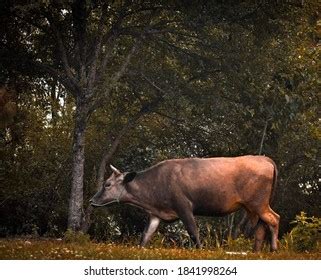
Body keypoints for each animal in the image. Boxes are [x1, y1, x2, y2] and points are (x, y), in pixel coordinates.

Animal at [89, 155, 278, 252]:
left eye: (107, 184)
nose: (91, 200)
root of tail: (265, 159)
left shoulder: (184, 206)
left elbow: (193, 232)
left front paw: (200, 251)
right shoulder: (155, 214)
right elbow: (145, 235)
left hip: (258, 203)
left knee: (274, 219)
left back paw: (273, 249)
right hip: (254, 207)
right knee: (261, 225)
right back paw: (256, 251)